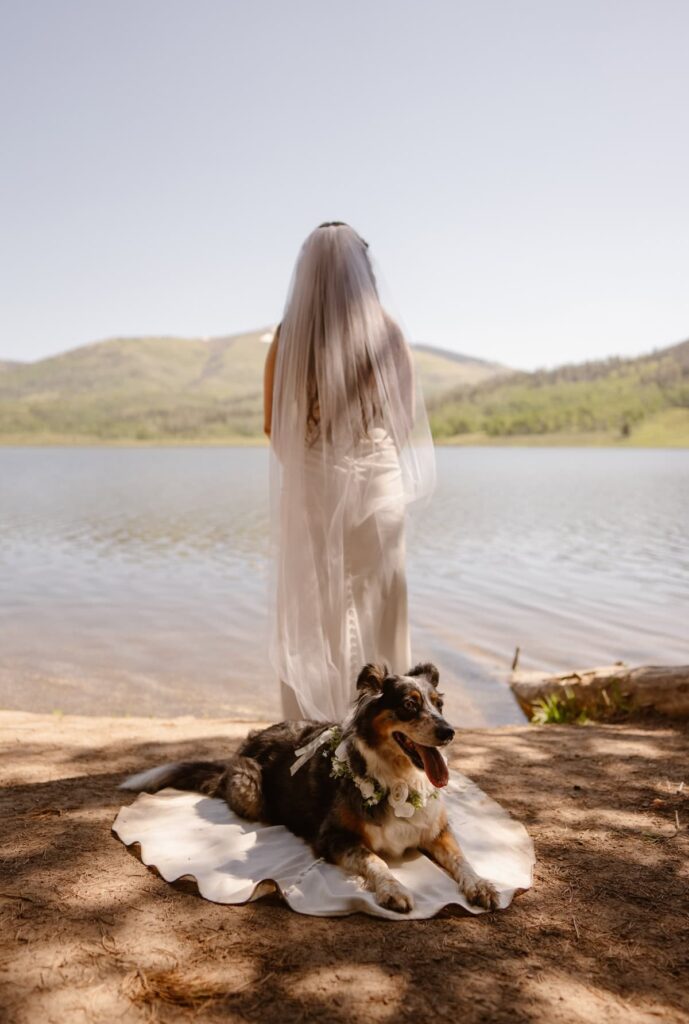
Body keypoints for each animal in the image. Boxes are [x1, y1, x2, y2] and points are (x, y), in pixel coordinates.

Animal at [118, 659, 495, 917]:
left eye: (439, 705)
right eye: (409, 705)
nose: (449, 732)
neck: (399, 780)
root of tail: (245, 745)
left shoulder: (436, 831)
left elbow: (462, 858)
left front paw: (481, 884)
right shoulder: (333, 837)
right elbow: (376, 861)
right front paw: (394, 890)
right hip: (250, 789)